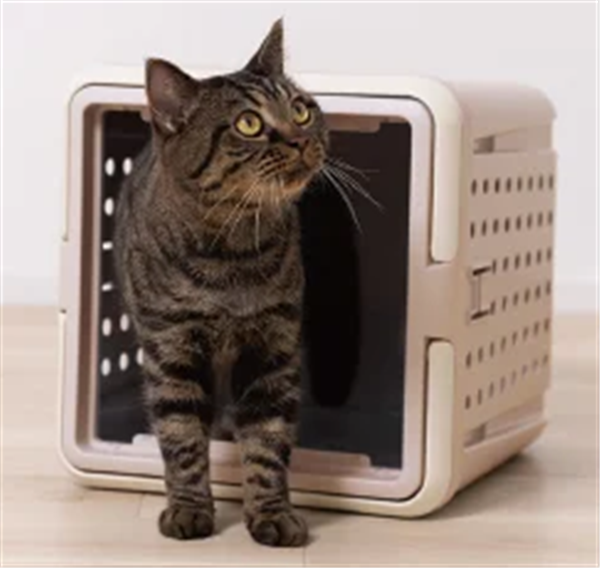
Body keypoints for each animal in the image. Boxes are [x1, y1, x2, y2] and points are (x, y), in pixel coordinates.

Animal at [114, 20, 327, 547]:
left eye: (301, 108)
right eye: (248, 124)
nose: (300, 139)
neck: (234, 255)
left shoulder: (272, 352)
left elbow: (268, 442)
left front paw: (272, 512)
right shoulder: (171, 351)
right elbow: (182, 439)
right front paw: (189, 510)